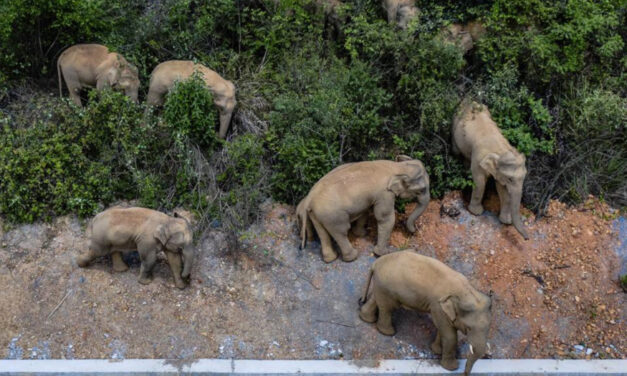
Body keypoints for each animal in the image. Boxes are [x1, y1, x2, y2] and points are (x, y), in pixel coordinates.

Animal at [296, 155, 430, 262]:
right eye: (422, 190)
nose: (414, 232)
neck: (397, 167)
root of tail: (309, 198)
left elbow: (365, 211)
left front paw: (362, 234)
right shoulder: (384, 194)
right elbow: (385, 218)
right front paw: (382, 254)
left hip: (316, 214)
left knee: (323, 233)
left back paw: (330, 259)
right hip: (332, 215)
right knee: (341, 231)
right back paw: (352, 257)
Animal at [360, 250, 494, 376]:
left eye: (488, 328)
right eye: (469, 328)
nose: (463, 373)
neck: (466, 292)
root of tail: (376, 263)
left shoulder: (441, 310)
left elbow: (443, 329)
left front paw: (436, 351)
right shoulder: (438, 306)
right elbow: (450, 336)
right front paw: (451, 368)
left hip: (382, 285)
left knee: (376, 299)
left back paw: (366, 318)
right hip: (388, 287)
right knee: (388, 307)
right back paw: (388, 332)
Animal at [452, 100, 528, 239]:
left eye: (524, 178)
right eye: (510, 179)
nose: (526, 238)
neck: (501, 150)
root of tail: (468, 100)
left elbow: (502, 189)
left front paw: (506, 221)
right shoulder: (478, 158)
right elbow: (480, 182)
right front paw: (476, 212)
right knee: (456, 151)